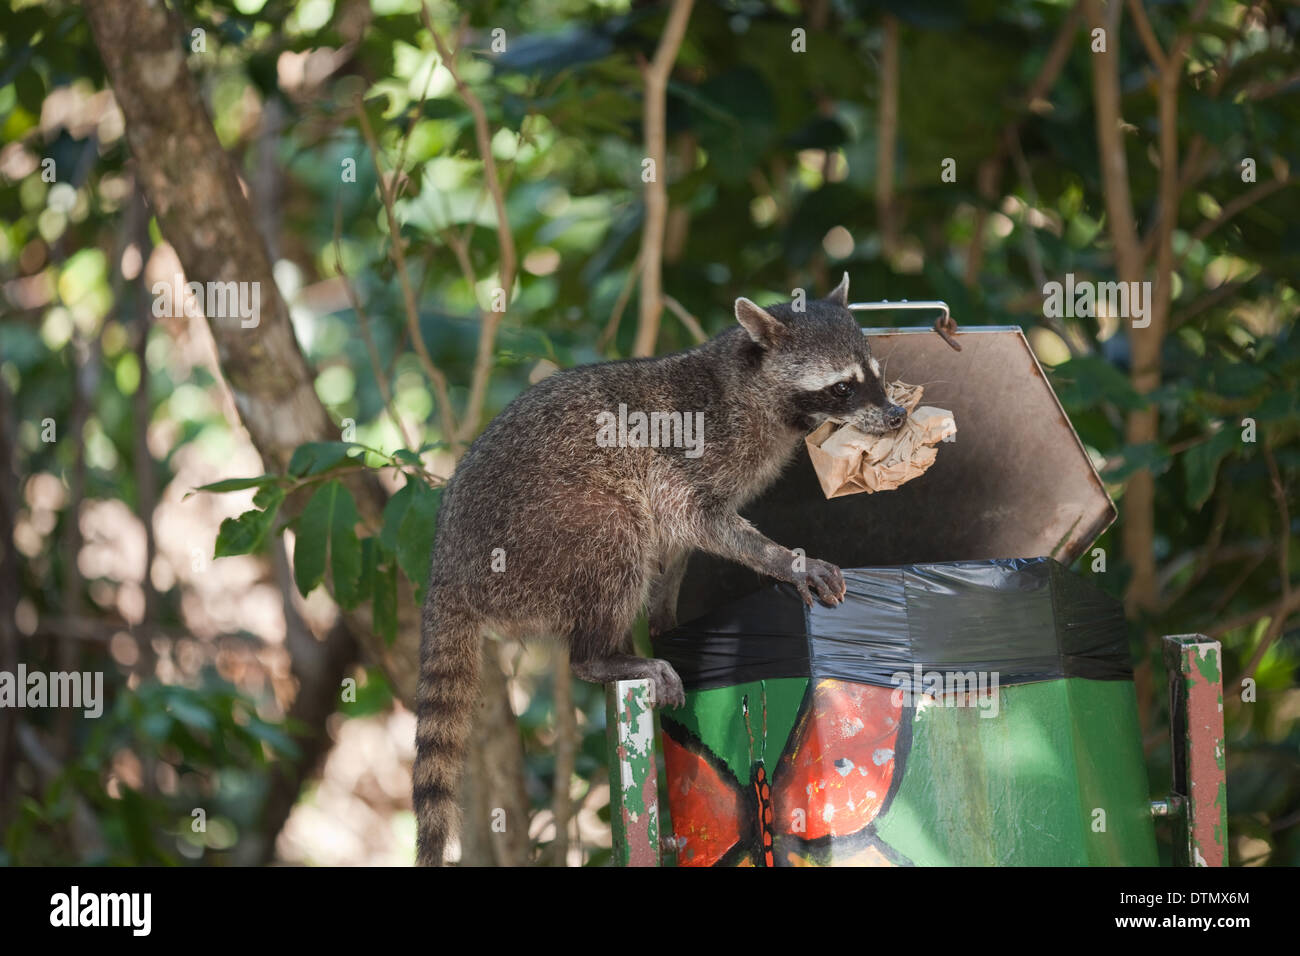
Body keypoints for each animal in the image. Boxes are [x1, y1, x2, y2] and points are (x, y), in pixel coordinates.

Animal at [416, 274, 904, 868]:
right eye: (842, 388)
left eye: (875, 375)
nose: (897, 415)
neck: (749, 388)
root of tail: (448, 569)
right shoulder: (689, 455)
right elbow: (700, 522)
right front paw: (786, 560)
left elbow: (678, 549)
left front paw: (666, 616)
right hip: (540, 535)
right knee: (618, 533)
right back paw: (601, 655)